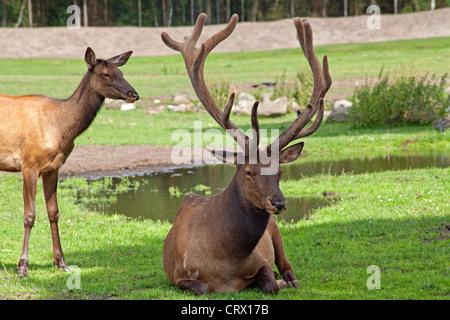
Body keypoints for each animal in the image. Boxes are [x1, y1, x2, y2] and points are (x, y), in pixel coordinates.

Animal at [0, 47, 139, 278]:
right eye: (106, 74)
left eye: (121, 72)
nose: (133, 94)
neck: (61, 128)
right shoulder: (28, 164)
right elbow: (29, 215)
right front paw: (22, 267)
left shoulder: (53, 168)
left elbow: (54, 212)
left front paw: (61, 262)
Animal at [161, 15, 330, 296]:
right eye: (249, 171)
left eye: (280, 171)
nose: (278, 203)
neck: (224, 261)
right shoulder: (177, 275)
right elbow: (203, 288)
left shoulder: (261, 260)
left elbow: (270, 281)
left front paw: (278, 281)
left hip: (277, 233)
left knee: (288, 267)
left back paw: (289, 279)